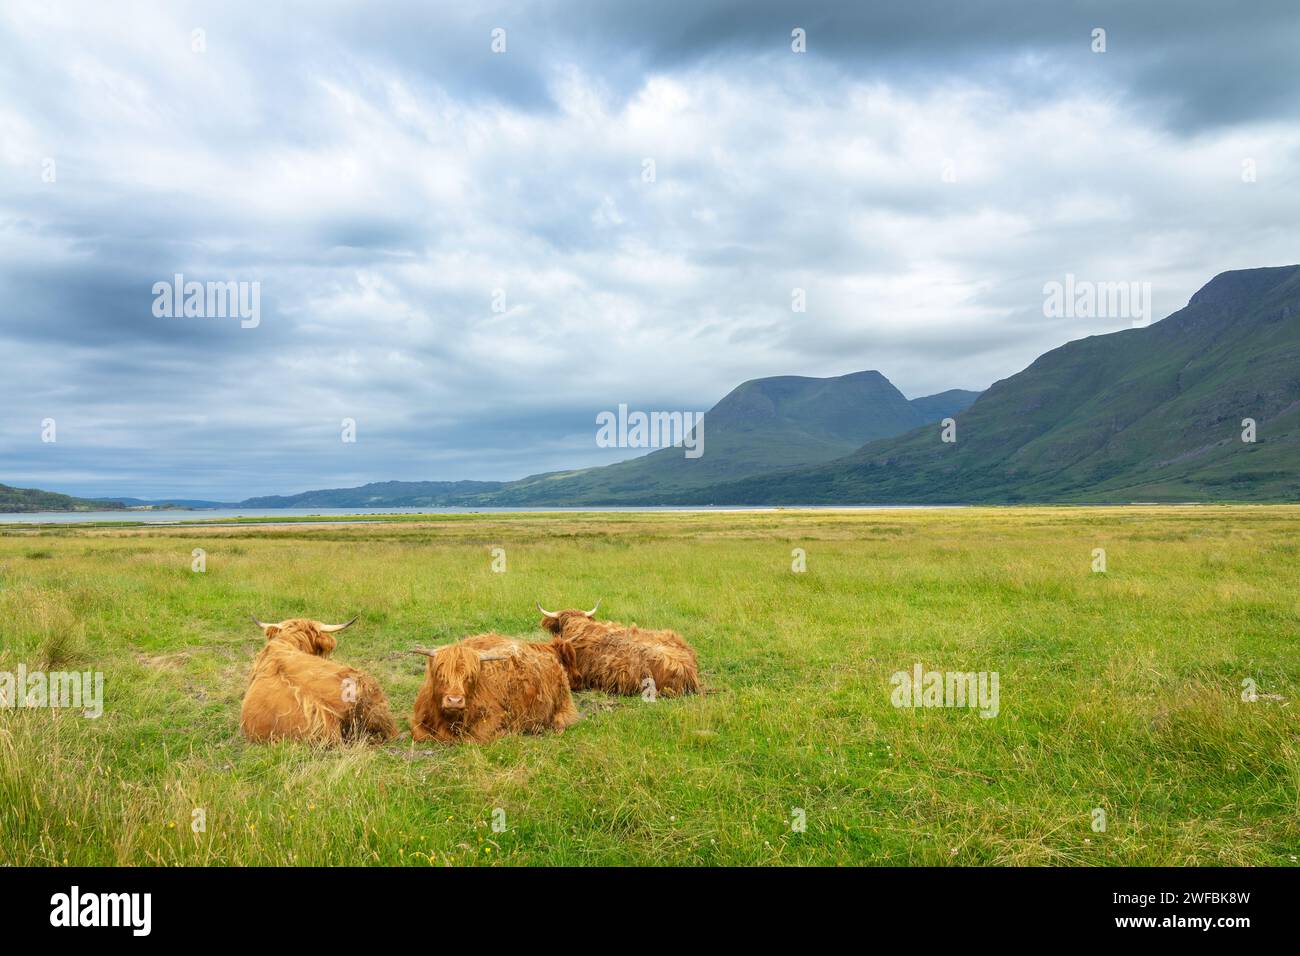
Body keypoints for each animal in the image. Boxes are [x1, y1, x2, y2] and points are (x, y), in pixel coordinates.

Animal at [410, 634, 579, 749]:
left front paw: (505, 733)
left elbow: (473, 738)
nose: (454, 701)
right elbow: (419, 734)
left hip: (564, 707)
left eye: (470, 676)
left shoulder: (495, 716)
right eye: (440, 674)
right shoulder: (418, 718)